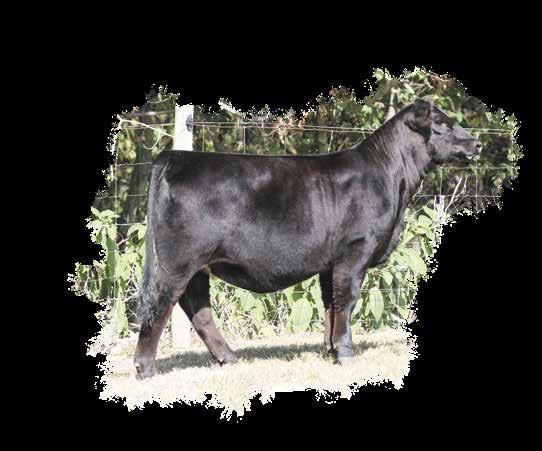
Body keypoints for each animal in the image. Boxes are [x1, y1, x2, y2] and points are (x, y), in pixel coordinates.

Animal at [134, 97, 482, 379]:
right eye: (441, 125)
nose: (476, 144)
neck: (392, 182)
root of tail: (175, 157)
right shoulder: (354, 252)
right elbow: (346, 301)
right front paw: (346, 353)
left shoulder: (331, 262)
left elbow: (331, 304)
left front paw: (330, 350)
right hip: (178, 261)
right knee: (160, 302)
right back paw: (145, 368)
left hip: (197, 265)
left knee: (197, 308)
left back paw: (229, 358)